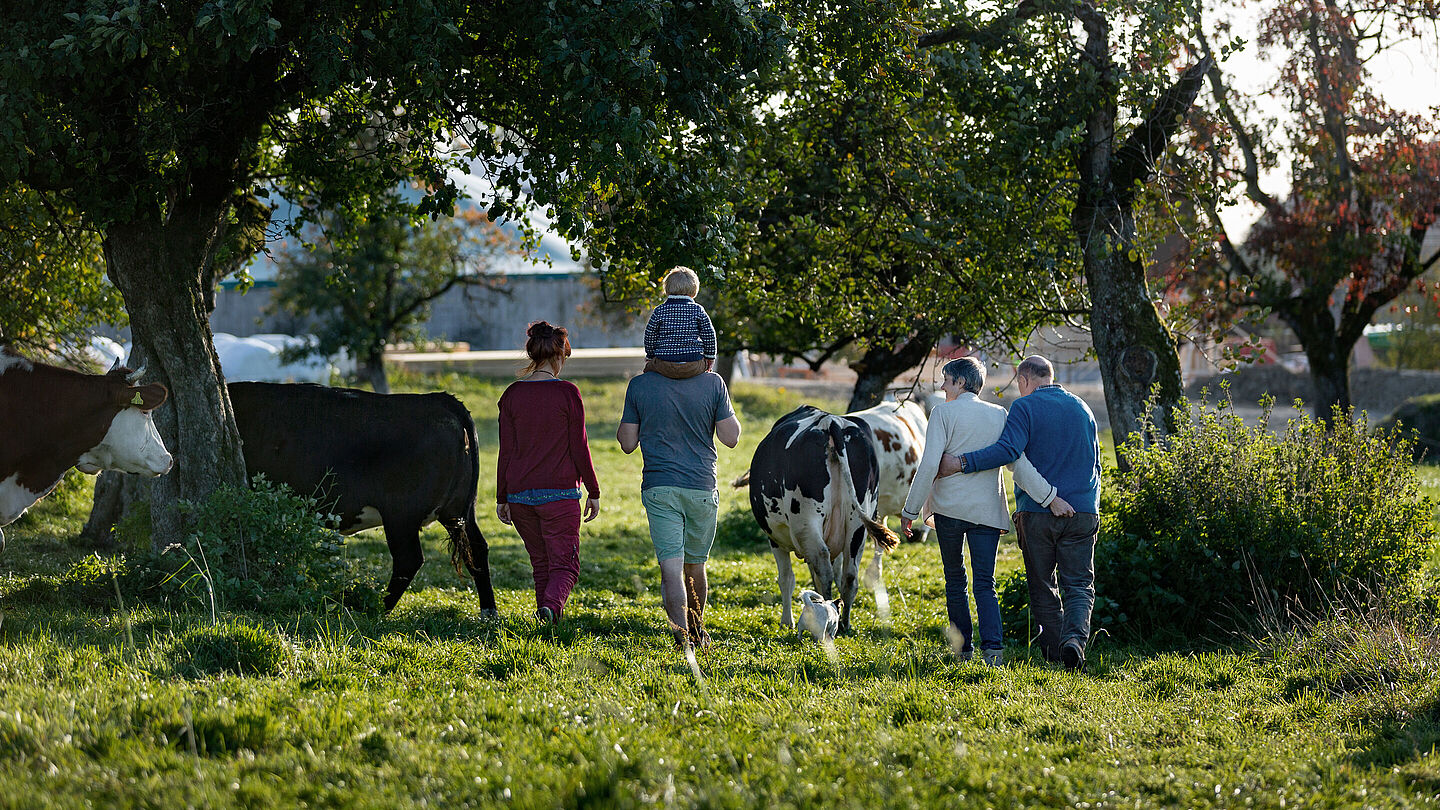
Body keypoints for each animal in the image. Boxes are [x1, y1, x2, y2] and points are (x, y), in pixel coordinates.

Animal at [226, 377, 495, 611]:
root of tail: (438, 398)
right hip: (458, 509)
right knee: (477, 549)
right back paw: (488, 611)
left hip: (402, 514)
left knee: (409, 560)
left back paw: (376, 607)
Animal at [748, 403, 892, 631]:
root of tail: (831, 421)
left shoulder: (775, 538)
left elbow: (786, 578)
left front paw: (786, 621)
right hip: (858, 524)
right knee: (849, 575)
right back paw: (845, 623)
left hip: (807, 521)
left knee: (823, 568)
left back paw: (827, 611)